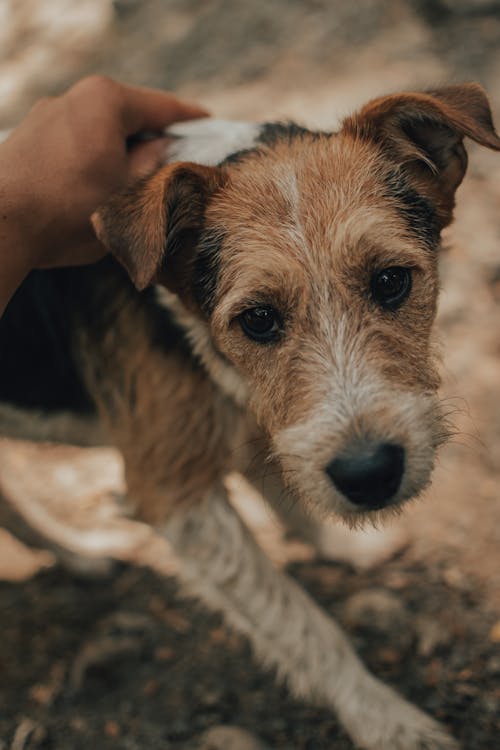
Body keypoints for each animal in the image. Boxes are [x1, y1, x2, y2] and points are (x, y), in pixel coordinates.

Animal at [0, 83, 500, 750]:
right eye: (257, 319)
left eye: (392, 280)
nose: (370, 475)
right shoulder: (174, 492)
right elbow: (300, 622)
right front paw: (386, 720)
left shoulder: (259, 418)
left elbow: (291, 496)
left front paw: (348, 550)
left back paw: (80, 556)